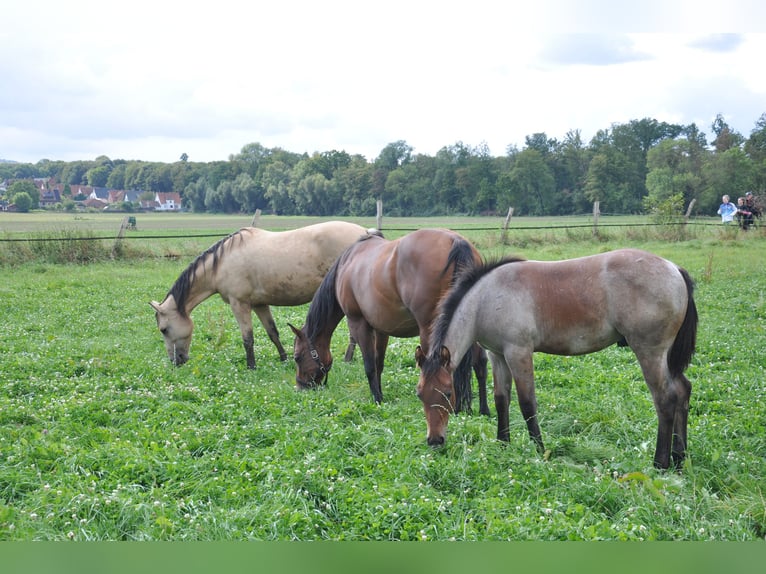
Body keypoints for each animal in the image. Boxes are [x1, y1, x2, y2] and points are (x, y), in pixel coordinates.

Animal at [150, 221, 375, 369]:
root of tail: (366, 233)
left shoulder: (239, 304)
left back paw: (348, 358)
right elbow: (272, 333)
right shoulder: (259, 305)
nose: (176, 361)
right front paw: (284, 358)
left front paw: (251, 366)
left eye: (163, 329)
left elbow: (247, 338)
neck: (222, 263)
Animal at [290, 228, 490, 413]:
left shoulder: (358, 324)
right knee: (479, 362)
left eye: (297, 357)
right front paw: (380, 395)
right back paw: (482, 409)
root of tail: (456, 241)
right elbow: (379, 363)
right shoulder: (381, 329)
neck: (347, 263)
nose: (300, 386)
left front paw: (377, 399)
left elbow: (369, 365)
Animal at [415, 248, 697, 470]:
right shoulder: (497, 355)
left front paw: (540, 450)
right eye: (420, 394)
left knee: (665, 399)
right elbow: (501, 400)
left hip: (649, 352)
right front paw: (503, 444)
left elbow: (527, 403)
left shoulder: (518, 352)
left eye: (448, 393)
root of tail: (674, 268)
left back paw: (660, 463)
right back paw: (679, 457)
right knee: (682, 391)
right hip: (666, 357)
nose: (435, 441)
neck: (487, 297)